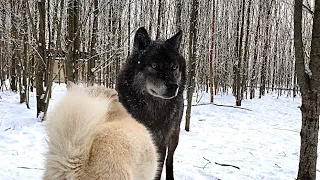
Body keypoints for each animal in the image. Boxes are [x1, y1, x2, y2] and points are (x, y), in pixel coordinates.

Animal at [115, 27, 186, 180]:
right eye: (154, 66)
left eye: (174, 67)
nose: (174, 86)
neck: (152, 112)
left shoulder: (160, 144)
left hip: (174, 136)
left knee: (169, 159)